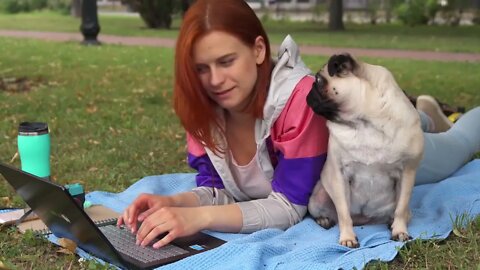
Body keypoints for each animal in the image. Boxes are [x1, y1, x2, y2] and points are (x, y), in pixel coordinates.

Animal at [308, 53, 424, 248]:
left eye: (317, 80)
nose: (308, 94)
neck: (364, 124)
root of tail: (363, 220)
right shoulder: (339, 175)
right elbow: (343, 213)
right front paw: (347, 237)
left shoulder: (407, 173)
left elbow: (400, 209)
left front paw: (399, 231)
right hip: (317, 198)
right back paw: (324, 220)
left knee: (402, 212)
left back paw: (391, 222)